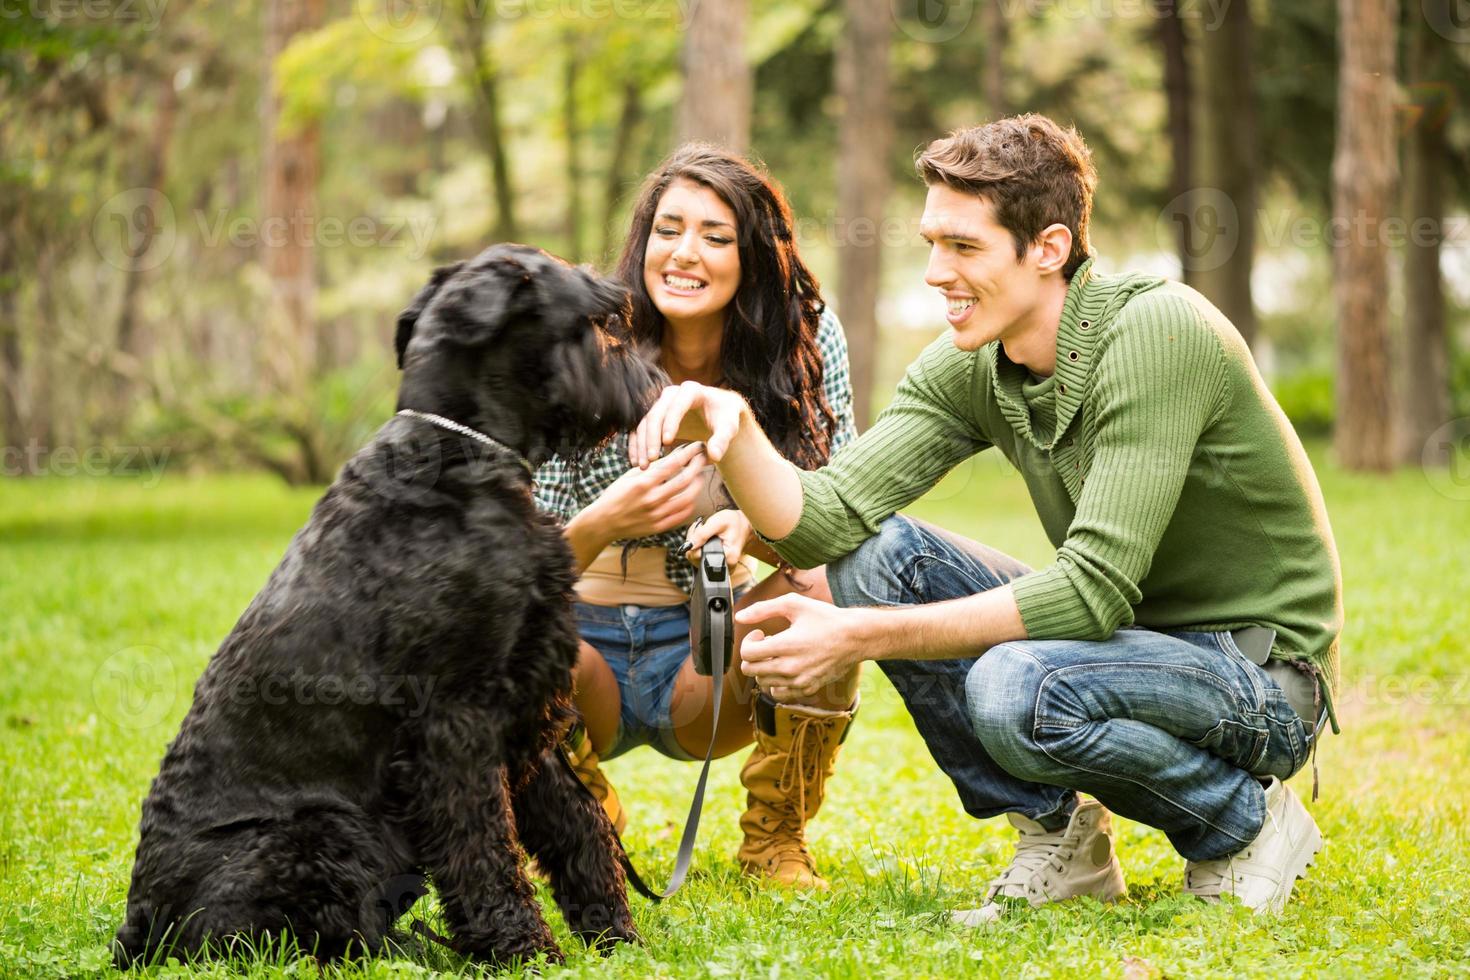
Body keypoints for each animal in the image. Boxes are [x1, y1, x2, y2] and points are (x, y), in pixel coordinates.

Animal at [113, 243, 661, 963]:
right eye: (600, 319)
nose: (653, 380)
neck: (461, 456)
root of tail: (139, 925)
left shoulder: (528, 704)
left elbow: (577, 825)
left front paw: (614, 934)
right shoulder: (456, 722)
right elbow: (484, 845)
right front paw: (522, 948)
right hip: (330, 832)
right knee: (318, 939)